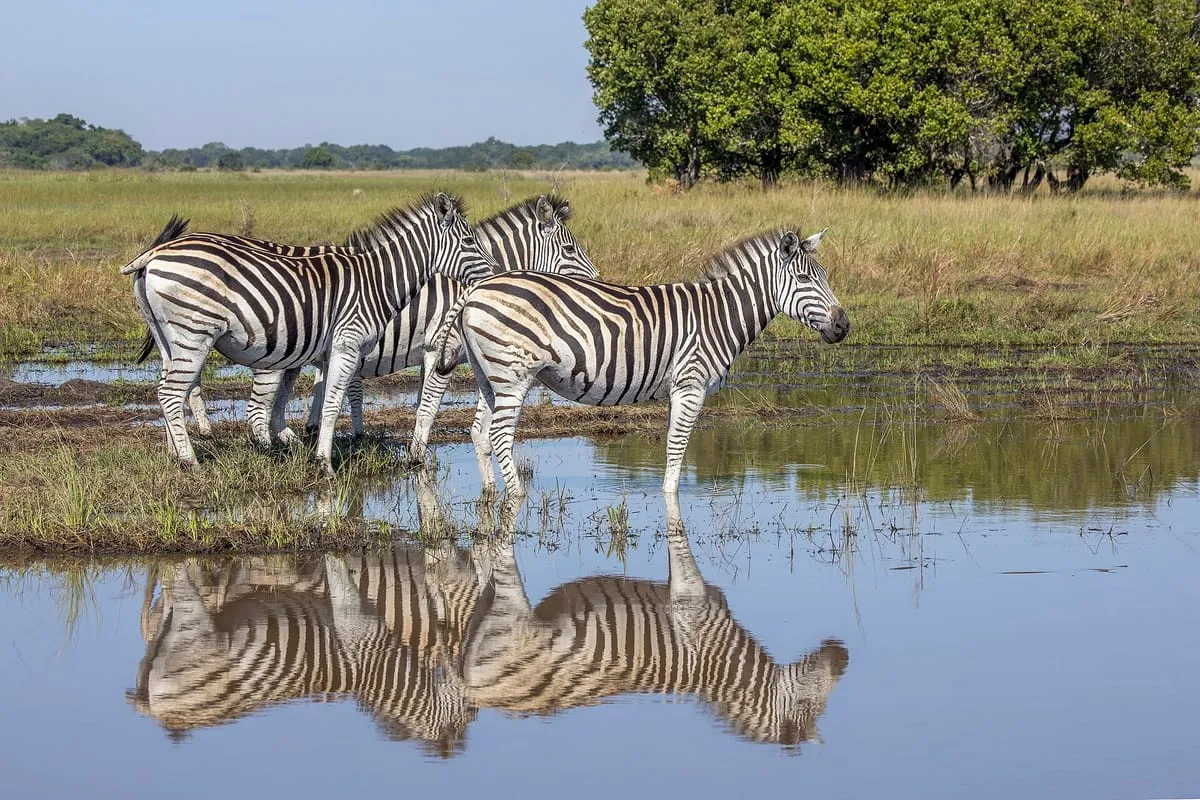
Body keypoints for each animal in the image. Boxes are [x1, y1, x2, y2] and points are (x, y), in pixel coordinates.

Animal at [122, 192, 496, 474]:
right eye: (468, 240)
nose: (493, 275)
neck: (377, 281)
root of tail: (155, 253)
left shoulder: (333, 352)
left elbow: (331, 401)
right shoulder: (348, 344)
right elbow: (333, 404)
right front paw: (325, 464)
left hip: (170, 338)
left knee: (166, 390)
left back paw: (175, 454)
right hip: (194, 334)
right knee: (172, 393)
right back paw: (191, 462)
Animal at [430, 227, 850, 496]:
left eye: (825, 276)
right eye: (804, 279)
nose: (843, 326)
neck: (718, 315)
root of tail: (477, 288)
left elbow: (673, 447)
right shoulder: (690, 384)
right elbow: (677, 447)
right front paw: (670, 499)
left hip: (489, 375)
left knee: (479, 433)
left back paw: (491, 494)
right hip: (513, 374)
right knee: (500, 436)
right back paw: (516, 497)